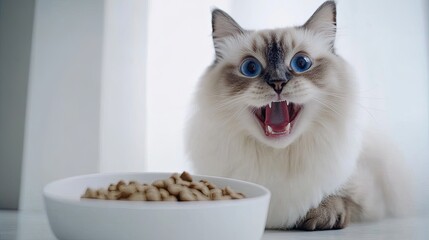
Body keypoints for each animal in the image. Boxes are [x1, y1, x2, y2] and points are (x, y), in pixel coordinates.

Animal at [185, 0, 412, 230]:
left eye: (301, 63)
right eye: (250, 68)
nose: (278, 82)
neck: (278, 157)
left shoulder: (374, 200)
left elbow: (341, 198)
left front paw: (321, 215)